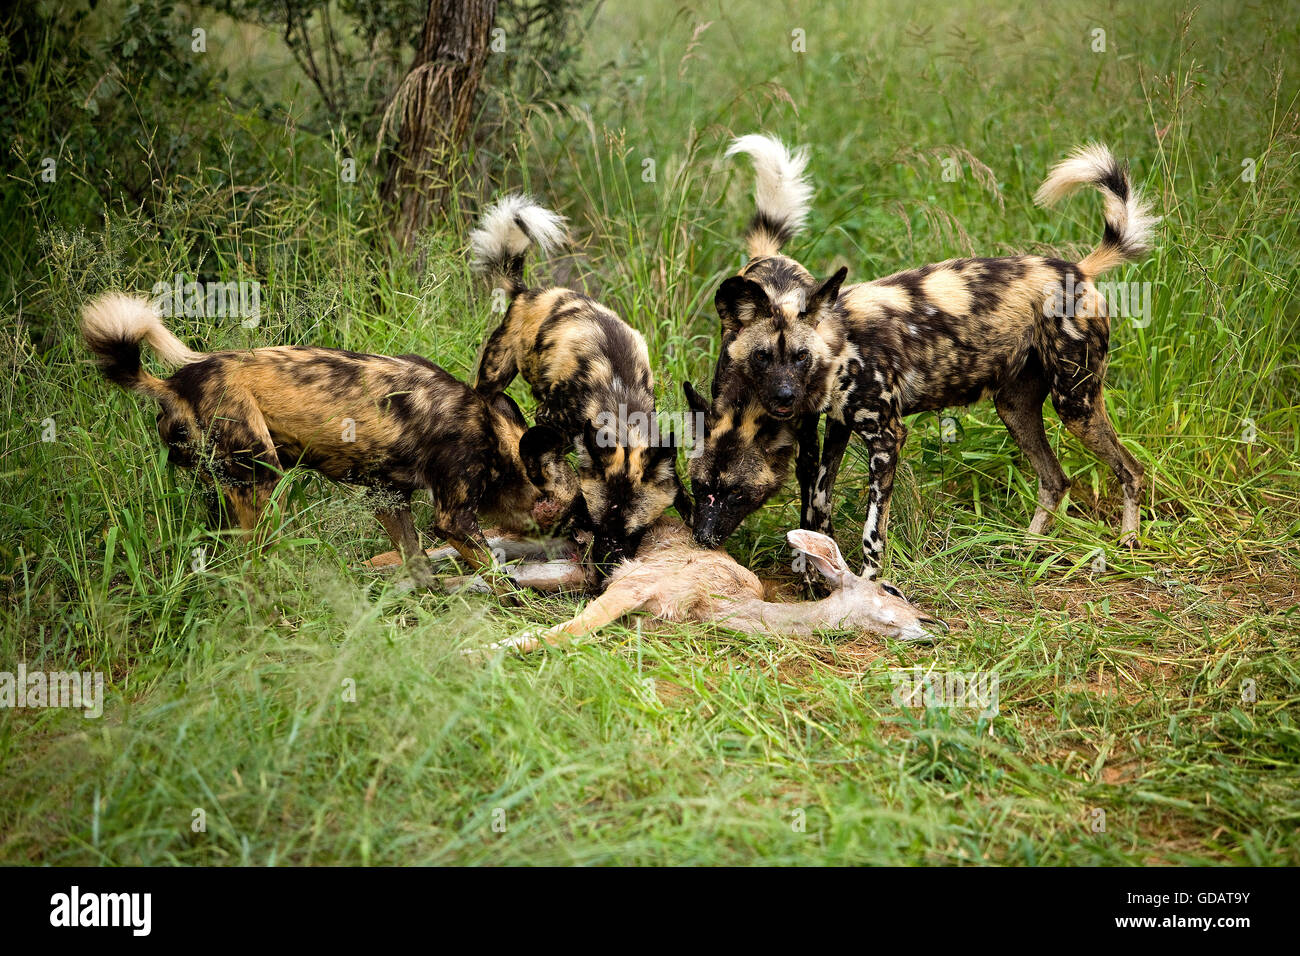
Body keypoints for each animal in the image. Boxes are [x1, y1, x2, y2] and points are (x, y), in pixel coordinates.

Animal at [76, 293, 574, 590]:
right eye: (577, 514)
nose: (588, 550)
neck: (494, 437)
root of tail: (173, 384)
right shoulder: (453, 518)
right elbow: (494, 572)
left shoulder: (387, 499)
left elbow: (418, 562)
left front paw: (430, 600)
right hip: (264, 484)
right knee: (255, 559)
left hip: (226, 488)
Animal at [470, 192, 691, 567]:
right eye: (598, 524)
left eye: (634, 532)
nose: (606, 564)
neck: (618, 398)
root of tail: (529, 293)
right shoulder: (550, 420)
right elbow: (541, 455)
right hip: (495, 375)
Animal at [691, 141, 1159, 574]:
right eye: (762, 357)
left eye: (801, 356)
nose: (784, 398)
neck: (841, 347)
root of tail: (1079, 271)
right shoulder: (837, 427)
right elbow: (819, 501)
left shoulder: (887, 439)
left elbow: (872, 533)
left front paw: (870, 582)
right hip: (1015, 409)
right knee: (1056, 480)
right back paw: (1026, 549)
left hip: (1075, 404)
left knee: (1131, 470)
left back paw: (1128, 542)